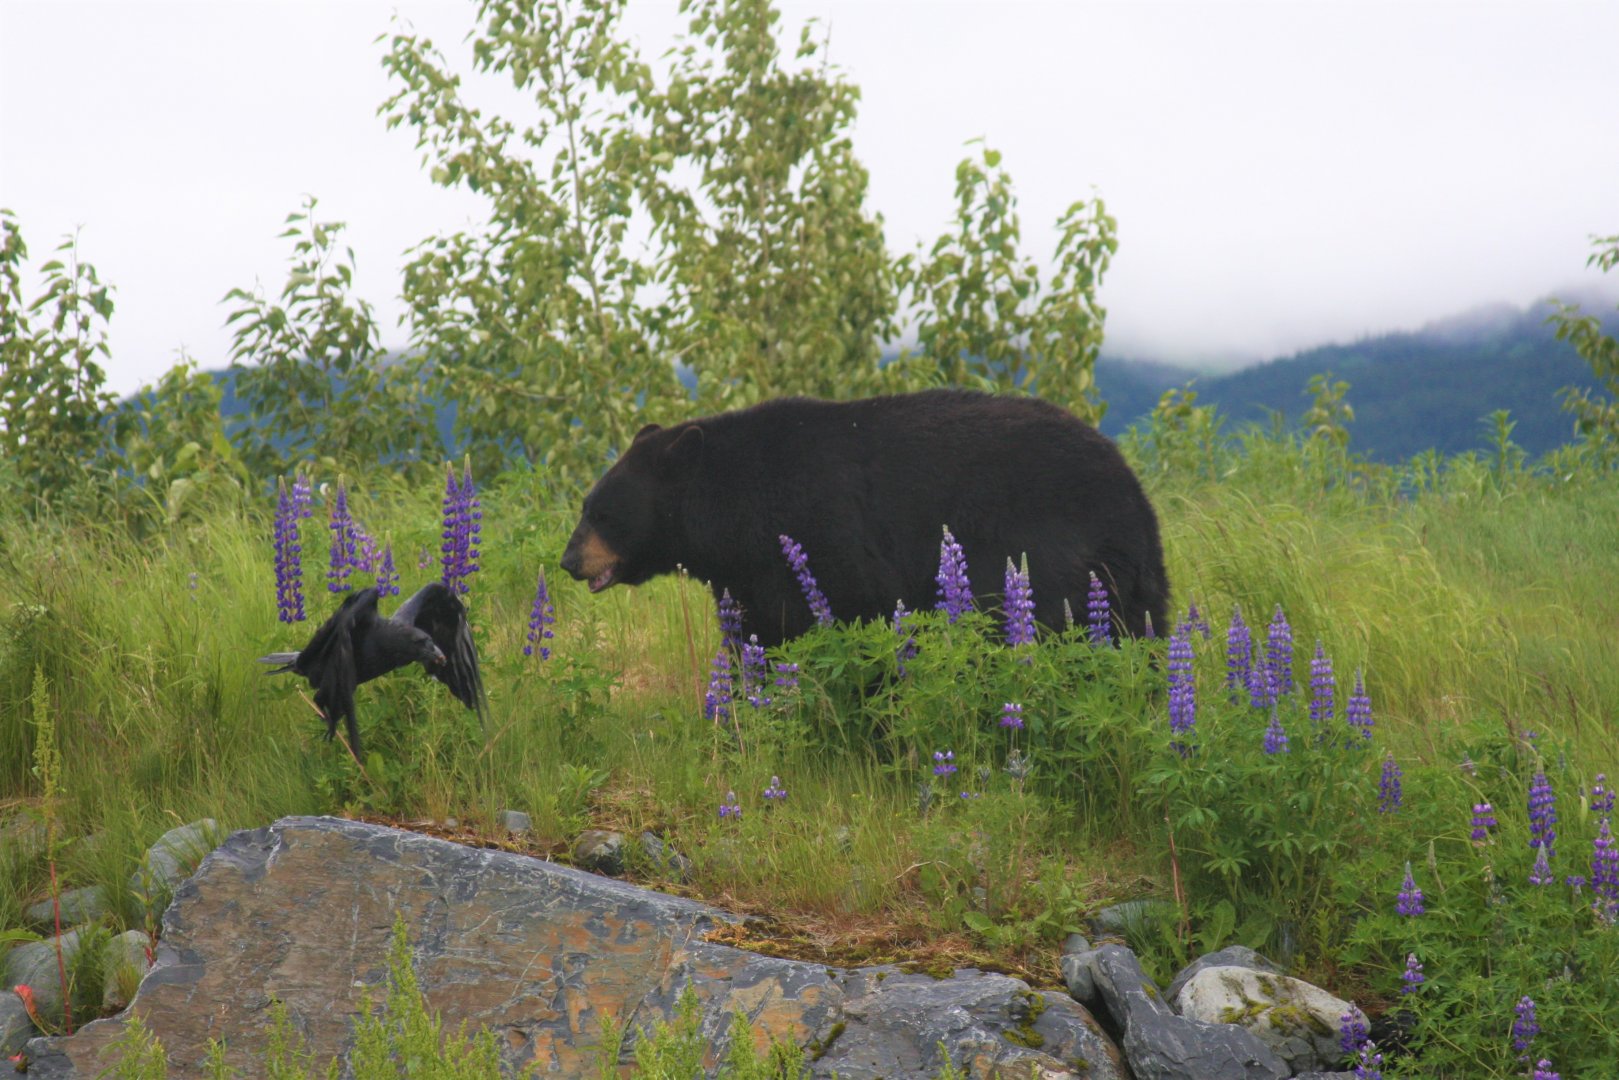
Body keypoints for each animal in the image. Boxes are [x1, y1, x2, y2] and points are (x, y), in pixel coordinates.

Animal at [560, 389, 1169, 648]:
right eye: (587, 506)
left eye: (603, 512)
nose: (568, 560)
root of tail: (1133, 499)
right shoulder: (751, 574)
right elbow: (758, 633)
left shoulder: (821, 534)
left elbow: (851, 610)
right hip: (1137, 582)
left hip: (1040, 555)